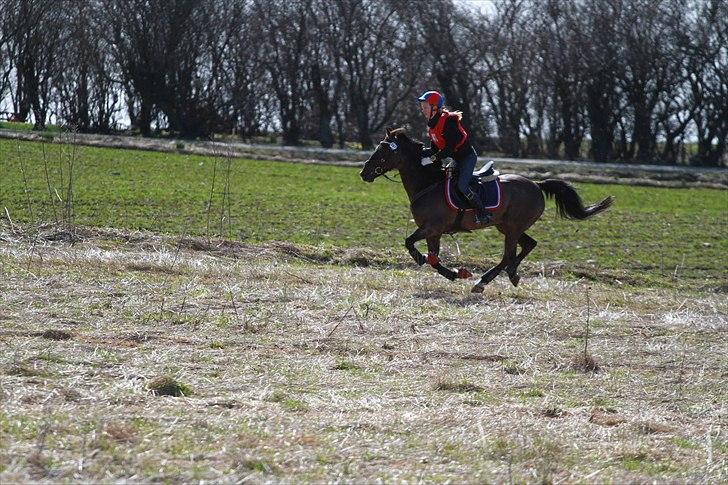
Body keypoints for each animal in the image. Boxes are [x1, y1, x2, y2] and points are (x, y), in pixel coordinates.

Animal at [358, 127, 616, 292]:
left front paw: (423, 260)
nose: (363, 172)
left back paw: (484, 281)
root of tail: (536, 184)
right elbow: (433, 258)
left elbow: (411, 243)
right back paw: (512, 274)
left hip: (512, 228)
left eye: (383, 151)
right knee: (528, 245)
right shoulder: (433, 231)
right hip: (508, 226)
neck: (428, 183)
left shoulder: (432, 227)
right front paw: (454, 273)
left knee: (508, 255)